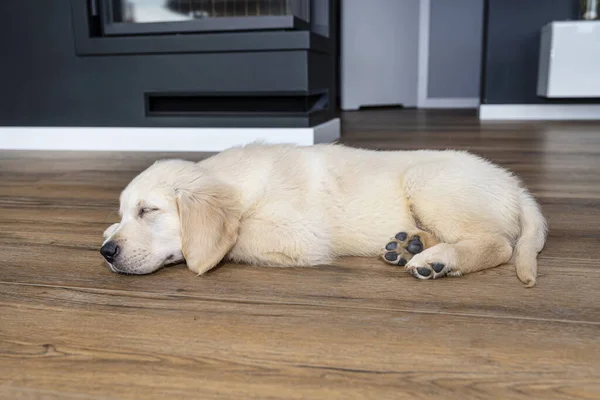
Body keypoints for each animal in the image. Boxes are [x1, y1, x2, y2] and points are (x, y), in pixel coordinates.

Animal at [101, 142, 548, 286]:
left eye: (148, 210)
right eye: (126, 211)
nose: (106, 253)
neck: (237, 184)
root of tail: (515, 185)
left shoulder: (301, 235)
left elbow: (237, 235)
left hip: (428, 182)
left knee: (499, 245)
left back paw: (436, 260)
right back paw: (409, 244)